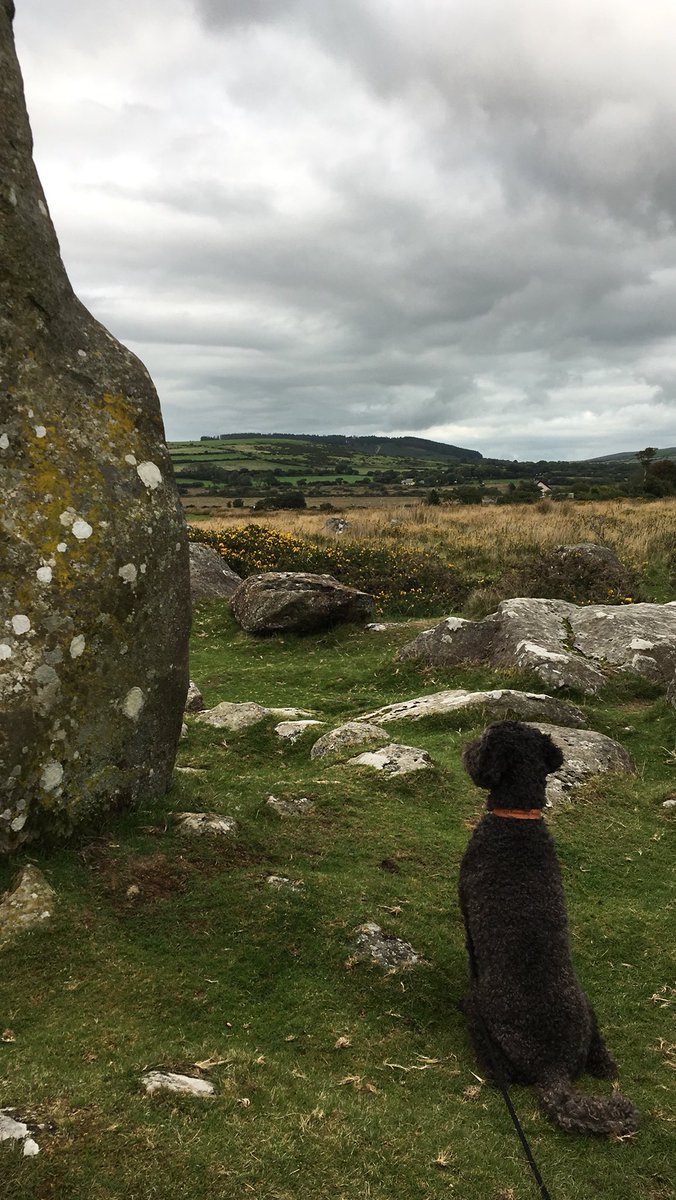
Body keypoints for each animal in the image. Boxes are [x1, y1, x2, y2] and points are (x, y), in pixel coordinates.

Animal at [458, 720, 638, 1132]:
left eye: (484, 741)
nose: (467, 749)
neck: (517, 819)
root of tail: (552, 1067)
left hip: (482, 1015)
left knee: (501, 1072)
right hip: (588, 1007)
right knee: (602, 1056)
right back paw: (606, 1066)